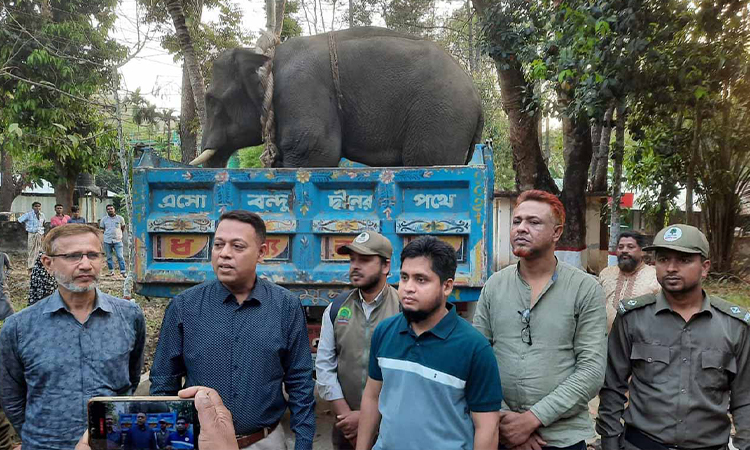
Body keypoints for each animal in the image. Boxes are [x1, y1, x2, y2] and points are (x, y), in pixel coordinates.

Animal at [194, 26, 484, 171]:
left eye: (212, 100)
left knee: (425, 160)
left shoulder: (301, 89)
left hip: (440, 118)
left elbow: (315, 151)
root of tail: (478, 99)